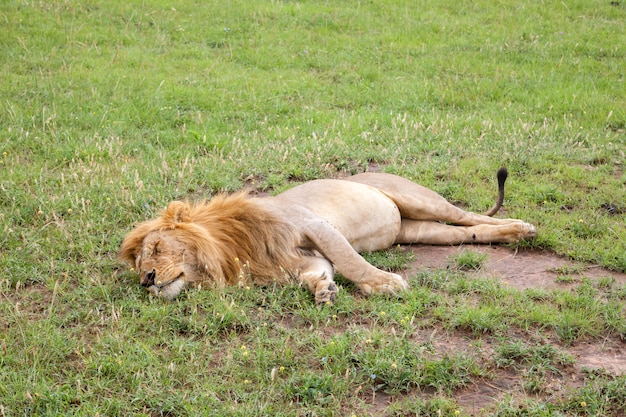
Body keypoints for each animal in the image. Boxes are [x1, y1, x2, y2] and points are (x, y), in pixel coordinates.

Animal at [119, 169, 532, 302]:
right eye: (138, 265)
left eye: (157, 247)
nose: (147, 280)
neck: (228, 249)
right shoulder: (294, 258)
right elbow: (321, 269)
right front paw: (323, 289)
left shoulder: (313, 224)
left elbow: (351, 261)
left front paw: (385, 283)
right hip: (419, 230)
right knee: (470, 232)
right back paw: (510, 236)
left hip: (422, 201)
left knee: (469, 214)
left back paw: (521, 228)